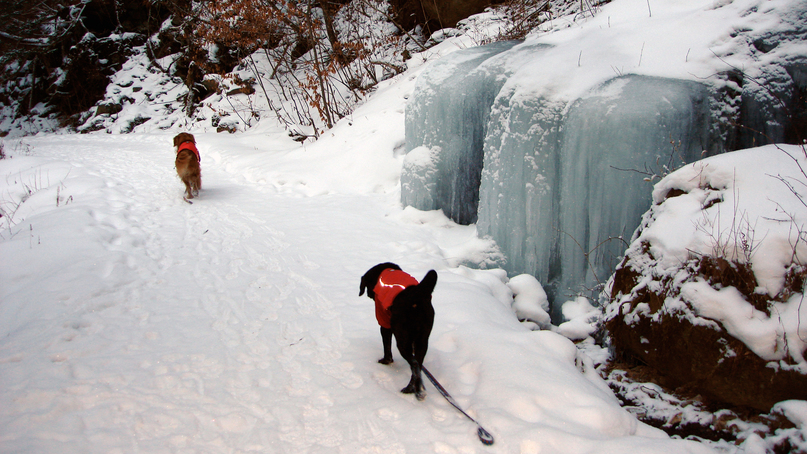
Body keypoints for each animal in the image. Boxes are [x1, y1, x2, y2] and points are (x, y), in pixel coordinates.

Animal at [360, 262, 436, 400]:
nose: (368, 293)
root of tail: (416, 295)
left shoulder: (384, 322)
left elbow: (387, 347)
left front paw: (386, 361)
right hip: (422, 340)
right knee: (418, 365)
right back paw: (413, 389)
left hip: (402, 339)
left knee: (414, 365)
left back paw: (413, 390)